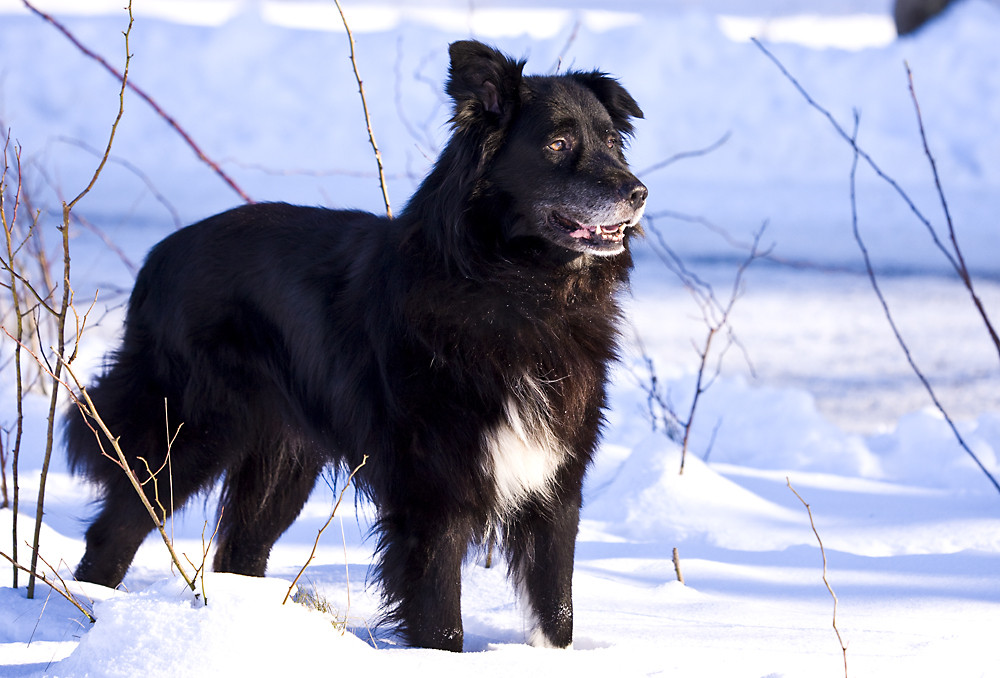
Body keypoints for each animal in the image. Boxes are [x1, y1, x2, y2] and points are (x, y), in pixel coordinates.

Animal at [70, 38, 648, 652]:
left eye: (613, 144)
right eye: (558, 144)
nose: (638, 192)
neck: (518, 291)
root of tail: (158, 257)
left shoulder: (555, 484)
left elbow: (557, 611)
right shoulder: (433, 491)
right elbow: (440, 618)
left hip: (286, 455)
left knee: (240, 550)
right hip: (190, 432)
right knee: (114, 532)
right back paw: (90, 612)